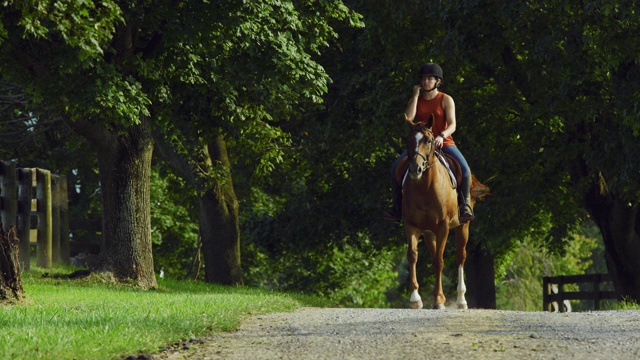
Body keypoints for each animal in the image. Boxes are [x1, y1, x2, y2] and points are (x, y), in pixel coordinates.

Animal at [402, 114, 488, 310]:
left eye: (429, 140)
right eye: (408, 140)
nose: (415, 169)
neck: (425, 188)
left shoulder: (443, 226)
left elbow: (439, 261)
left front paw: (439, 299)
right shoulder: (412, 225)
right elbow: (413, 256)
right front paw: (415, 299)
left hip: (463, 227)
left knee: (460, 256)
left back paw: (461, 300)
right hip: (428, 232)